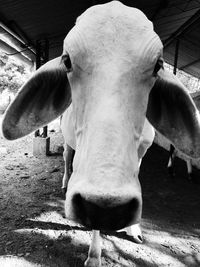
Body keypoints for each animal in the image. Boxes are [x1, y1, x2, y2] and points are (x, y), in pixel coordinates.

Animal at [1, 1, 200, 266]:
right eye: (67, 61)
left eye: (158, 65)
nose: (112, 210)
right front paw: (94, 255)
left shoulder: (141, 152)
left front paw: (134, 228)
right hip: (69, 143)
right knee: (67, 159)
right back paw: (65, 182)